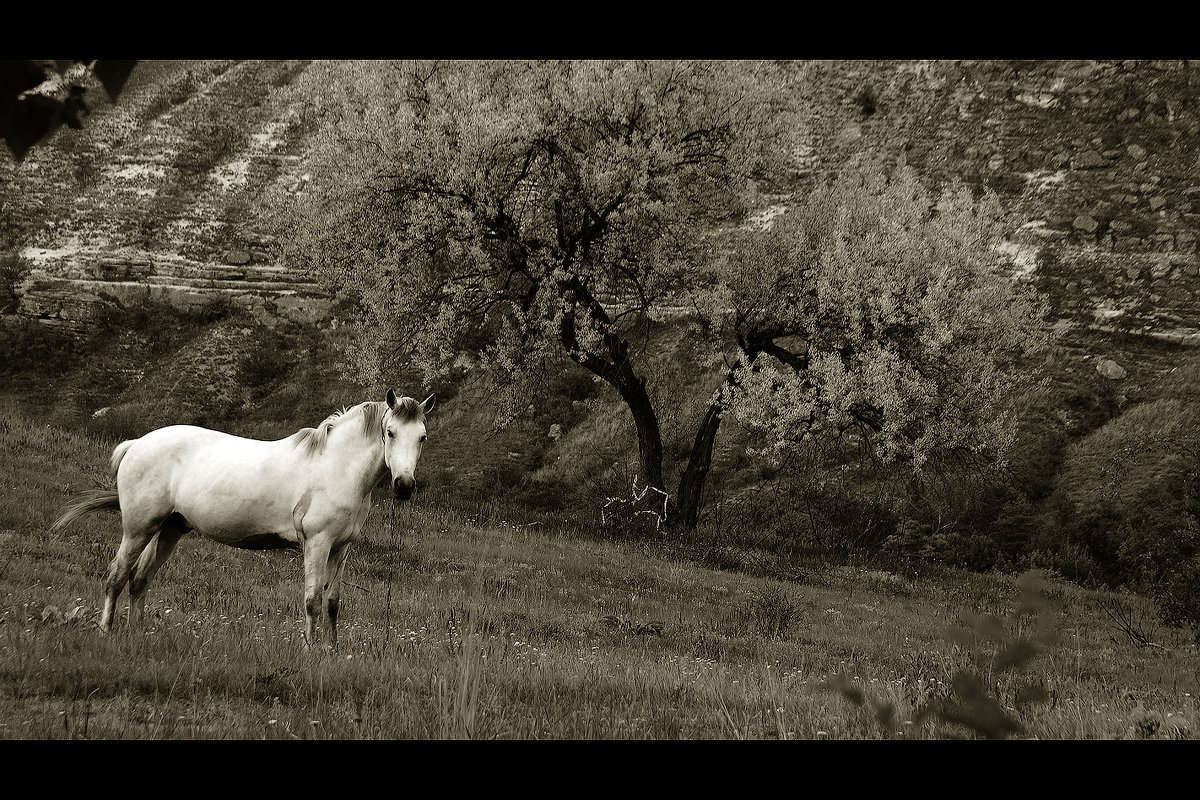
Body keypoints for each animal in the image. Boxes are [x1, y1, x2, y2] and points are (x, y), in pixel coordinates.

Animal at [54, 388, 436, 652]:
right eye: (390, 433)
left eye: (422, 437)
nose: (404, 485)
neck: (336, 466)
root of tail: (136, 444)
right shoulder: (317, 544)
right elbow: (312, 600)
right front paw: (310, 651)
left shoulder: (341, 549)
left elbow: (332, 603)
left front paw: (333, 651)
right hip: (138, 529)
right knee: (117, 575)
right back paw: (106, 630)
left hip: (169, 529)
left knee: (139, 579)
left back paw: (136, 634)